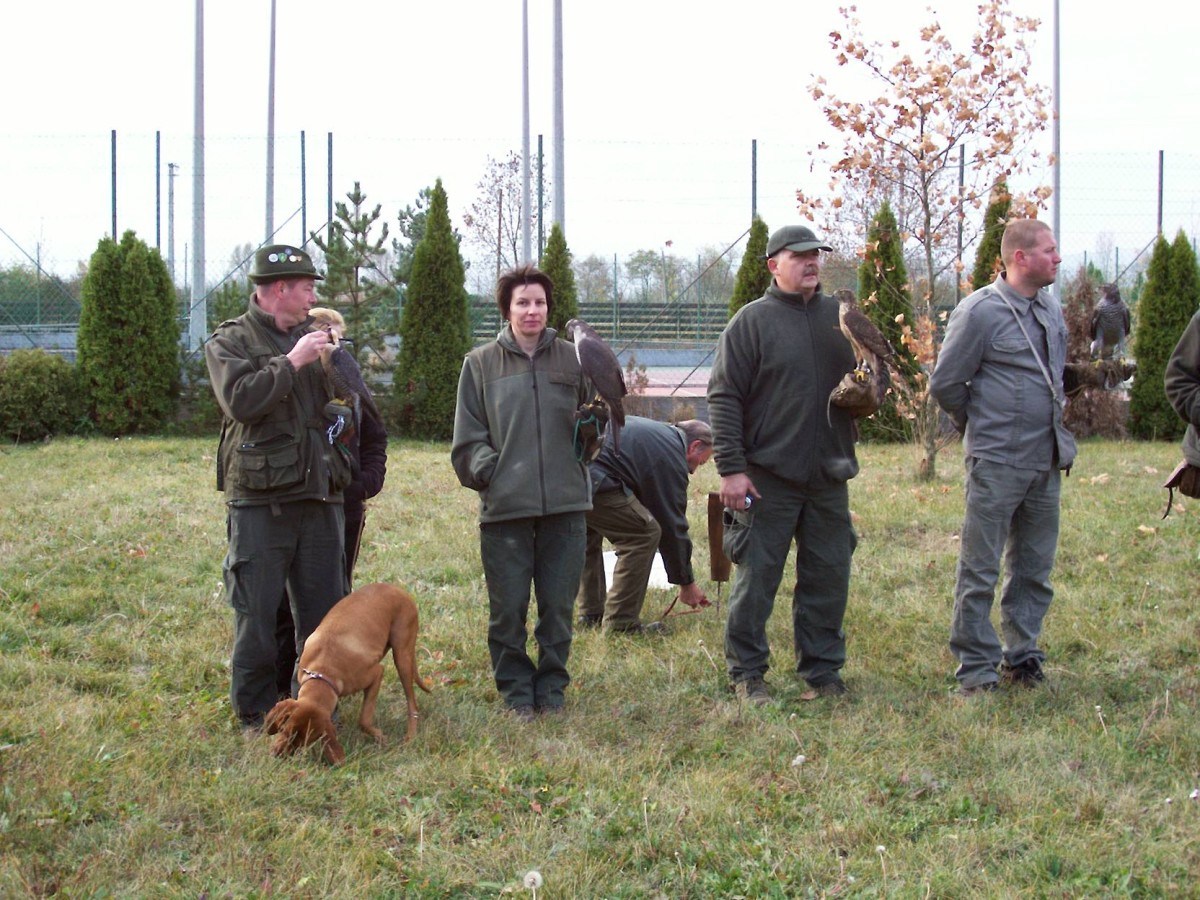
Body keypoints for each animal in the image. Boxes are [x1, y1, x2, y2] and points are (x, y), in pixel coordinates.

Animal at [265, 582, 432, 765]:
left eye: (303, 743)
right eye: (284, 731)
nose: (277, 755)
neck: (322, 674)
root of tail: (397, 588)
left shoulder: (376, 674)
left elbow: (364, 720)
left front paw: (379, 736)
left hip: (402, 656)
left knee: (412, 704)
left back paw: (411, 736)